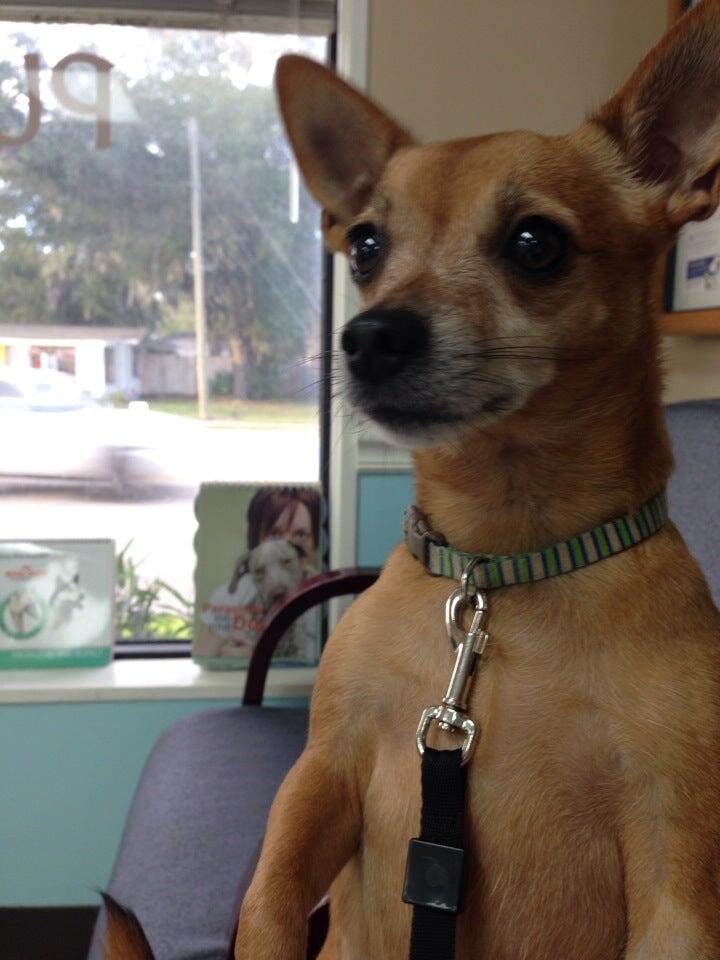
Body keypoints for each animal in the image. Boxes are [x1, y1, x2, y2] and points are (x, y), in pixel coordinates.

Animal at [106, 4, 720, 958]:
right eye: (365, 245)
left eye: (536, 243)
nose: (367, 336)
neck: (502, 570)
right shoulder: (326, 773)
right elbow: (269, 901)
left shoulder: (676, 876)